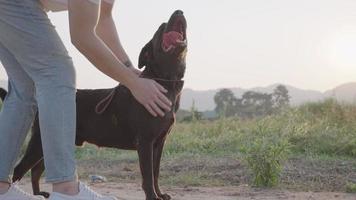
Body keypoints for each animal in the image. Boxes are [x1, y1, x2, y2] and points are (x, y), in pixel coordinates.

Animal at [12, 10, 188, 200]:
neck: (165, 81)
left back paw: (39, 193)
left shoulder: (159, 142)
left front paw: (160, 194)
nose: (179, 11)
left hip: (53, 143)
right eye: (162, 27)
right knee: (19, 169)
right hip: (39, 142)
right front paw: (152, 196)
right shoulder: (145, 141)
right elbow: (147, 175)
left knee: (37, 170)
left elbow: (155, 172)